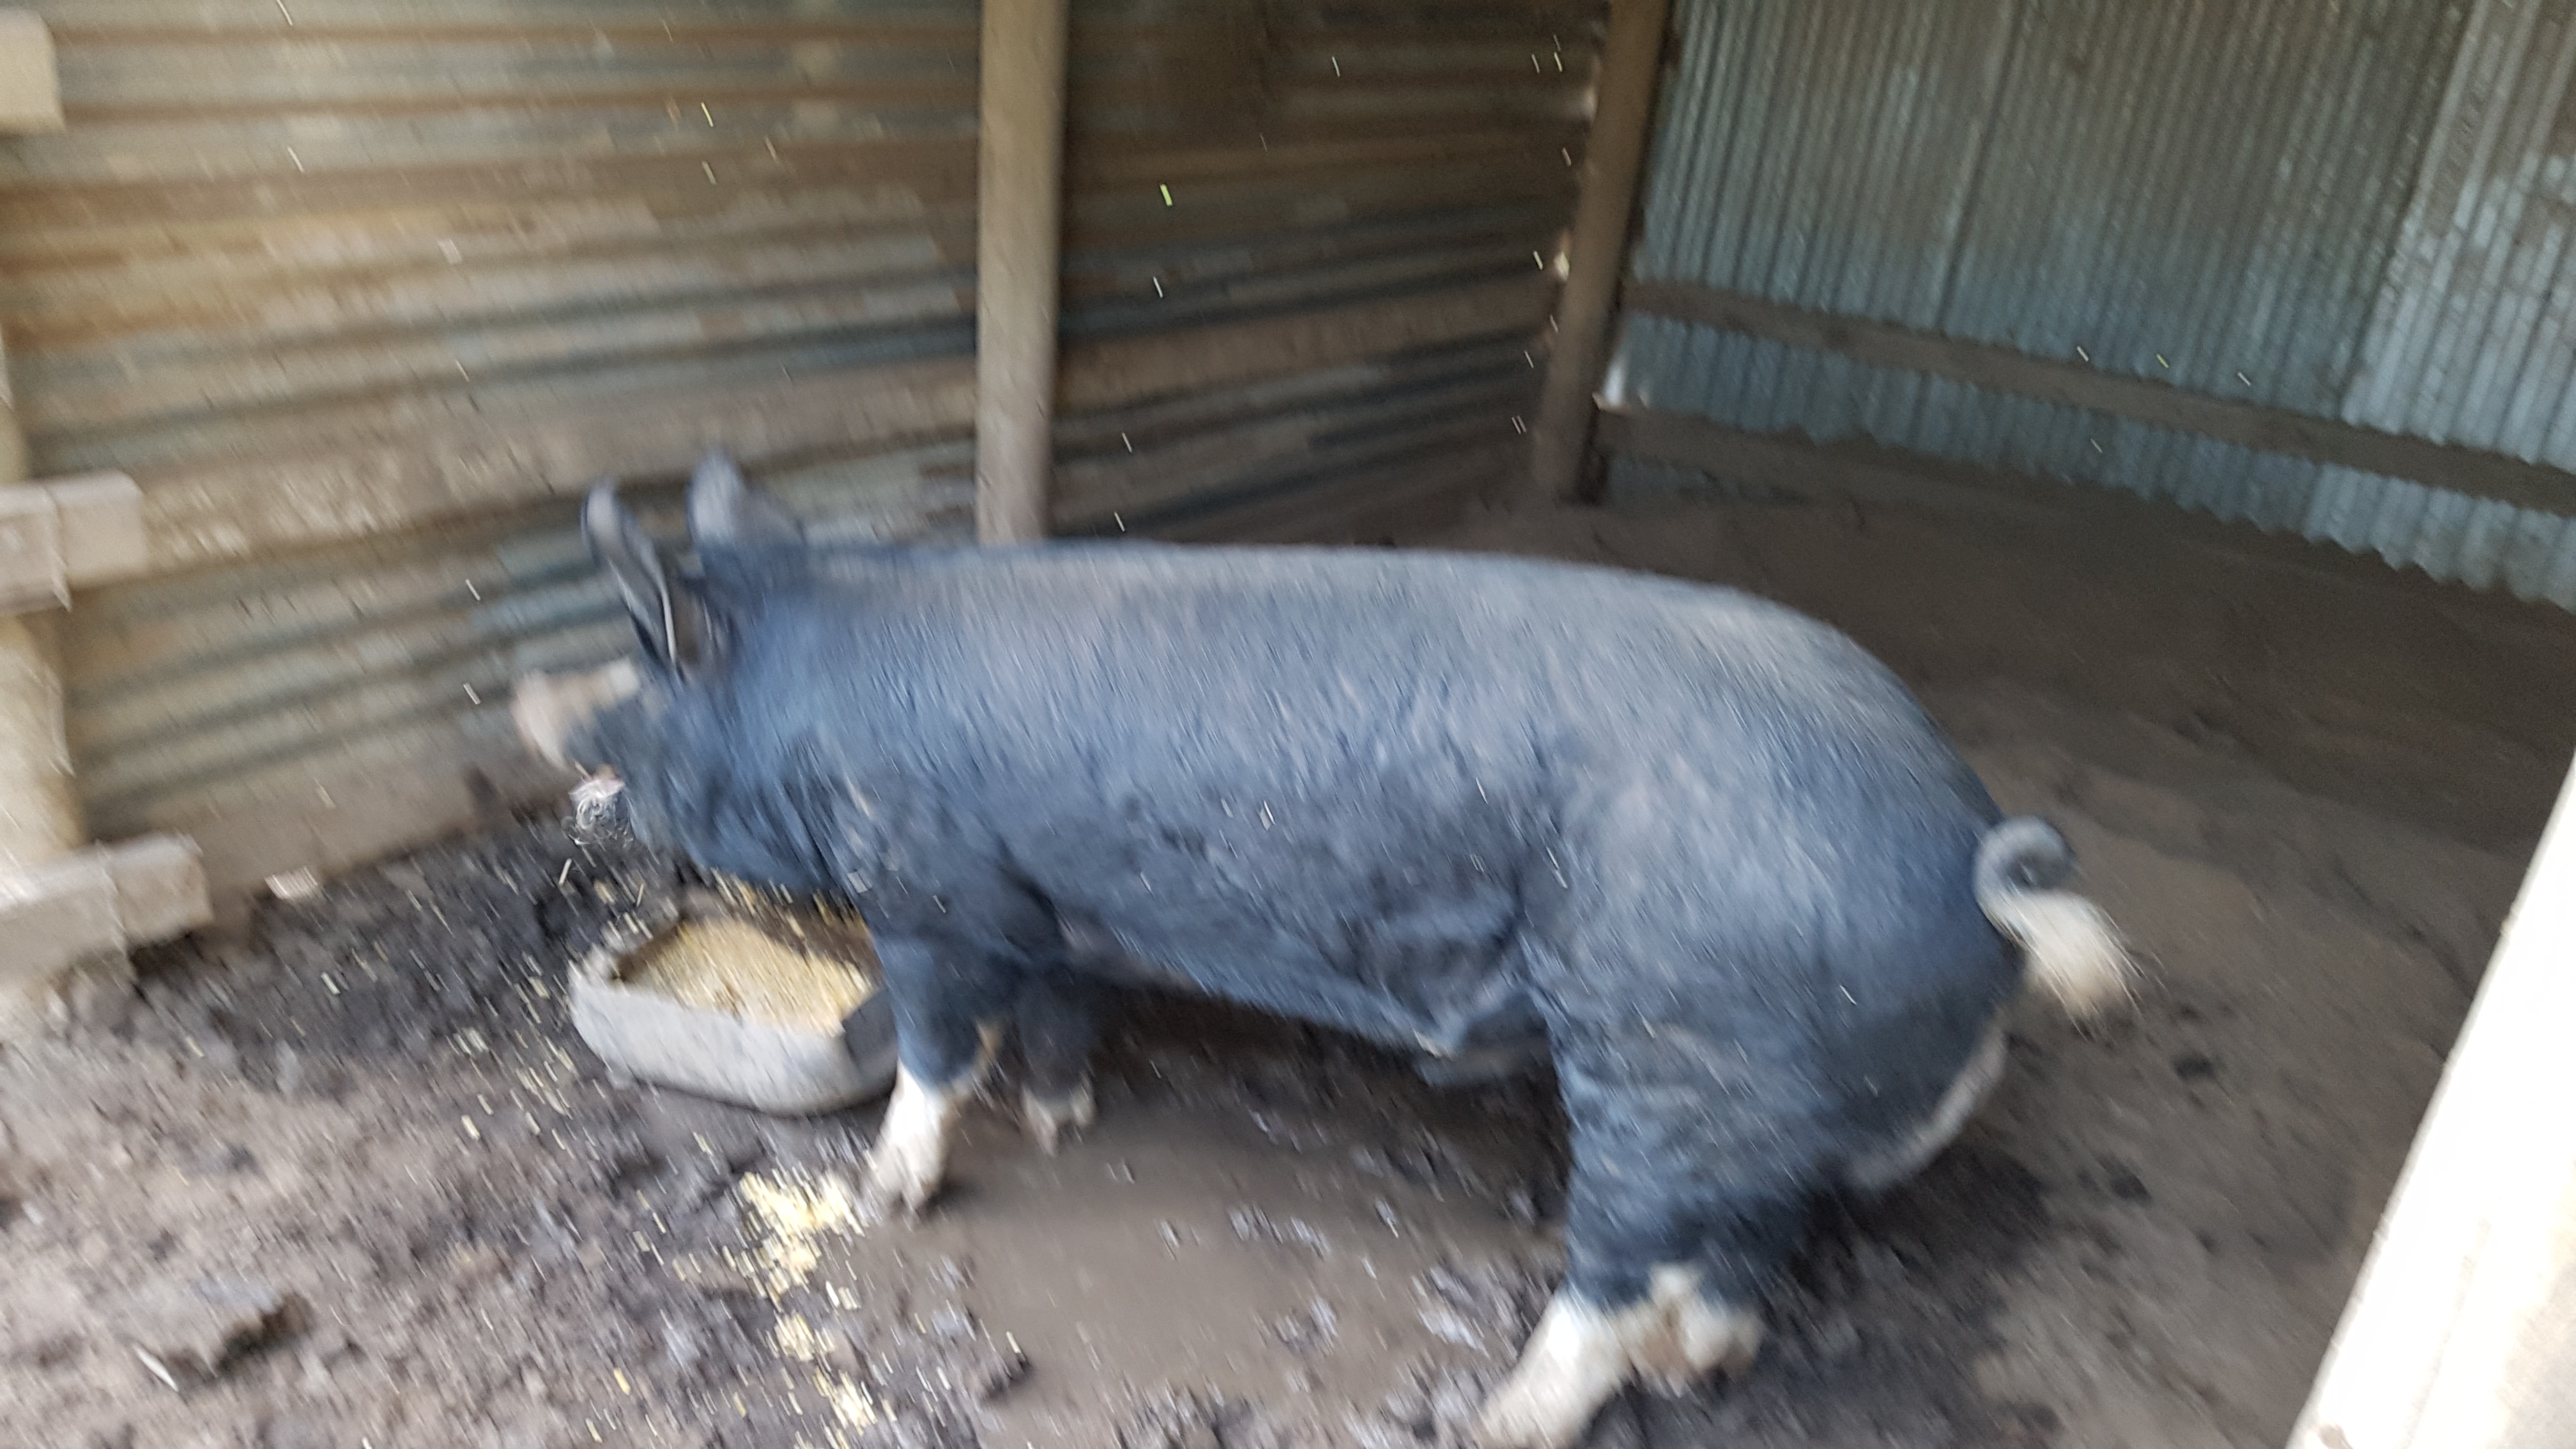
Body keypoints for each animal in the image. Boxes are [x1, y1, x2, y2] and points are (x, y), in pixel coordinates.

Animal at [515, 454, 2131, 1449]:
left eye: (634, 691)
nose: (534, 713)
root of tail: (1975, 869)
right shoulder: (1055, 895)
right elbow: (1059, 1014)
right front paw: (1065, 1122)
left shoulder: (925, 888)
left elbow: (931, 1047)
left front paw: (884, 1198)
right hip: (1749, 1088)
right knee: (1746, 1244)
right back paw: (1700, 1368)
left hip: (1668, 1045)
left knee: (1621, 1257)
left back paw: (1505, 1420)